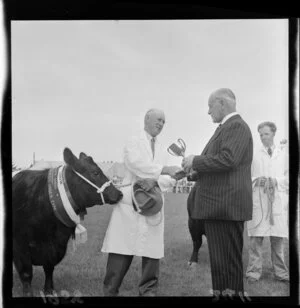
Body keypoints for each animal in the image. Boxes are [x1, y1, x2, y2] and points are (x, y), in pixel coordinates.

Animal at [12, 148, 123, 298]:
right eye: (95, 172)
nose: (119, 193)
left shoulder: (54, 248)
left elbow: (49, 268)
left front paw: (49, 291)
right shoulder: (19, 245)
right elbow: (26, 273)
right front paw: (28, 293)